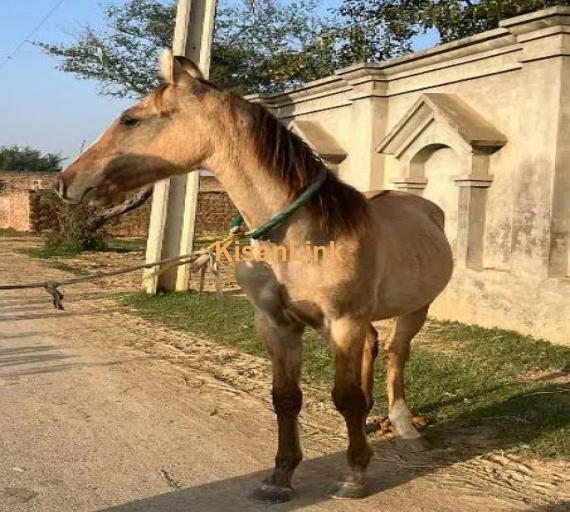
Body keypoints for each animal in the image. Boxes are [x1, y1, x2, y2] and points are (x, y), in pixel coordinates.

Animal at [54, 52, 452, 504]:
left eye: (130, 120)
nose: (65, 181)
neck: (302, 236)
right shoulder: (277, 325)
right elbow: (286, 399)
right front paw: (279, 477)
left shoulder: (343, 322)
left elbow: (345, 398)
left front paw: (354, 475)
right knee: (373, 348)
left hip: (415, 309)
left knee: (395, 355)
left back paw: (404, 428)